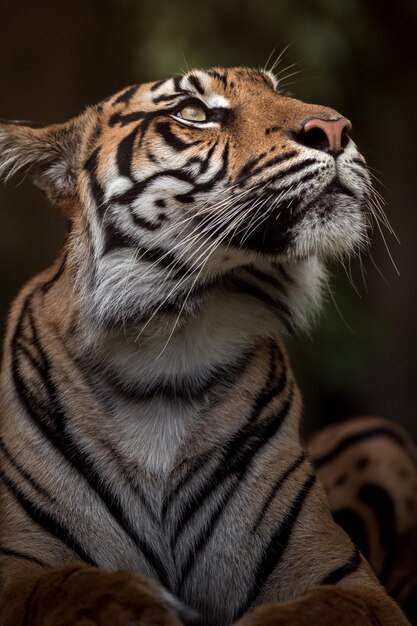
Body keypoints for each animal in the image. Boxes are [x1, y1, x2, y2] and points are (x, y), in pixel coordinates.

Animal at [0, 67, 410, 624]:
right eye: (192, 112)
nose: (336, 129)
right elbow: (75, 584)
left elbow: (317, 608)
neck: (170, 344)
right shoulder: (19, 563)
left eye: (278, 90)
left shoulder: (348, 579)